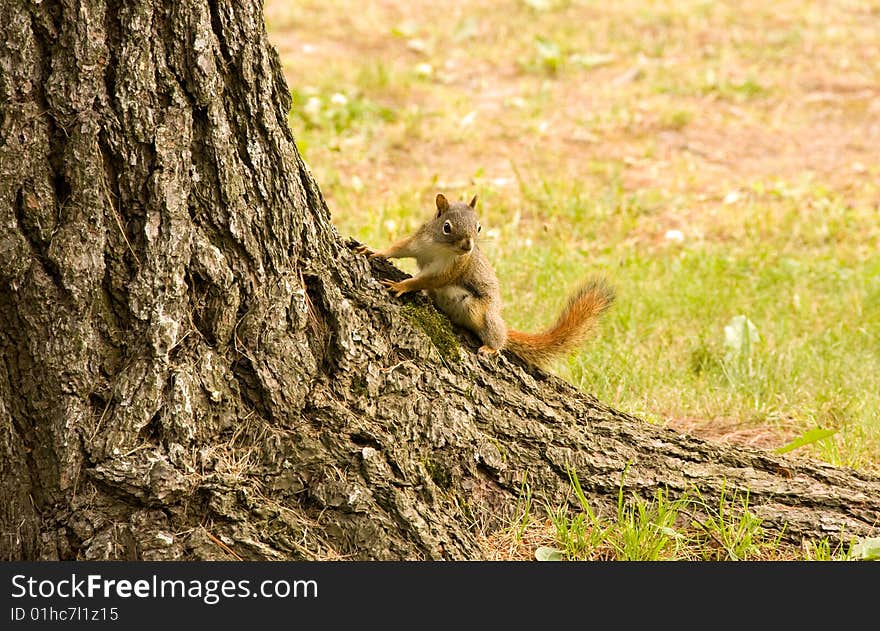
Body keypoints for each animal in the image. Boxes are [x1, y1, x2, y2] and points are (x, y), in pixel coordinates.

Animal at [354, 195, 616, 368]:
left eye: (478, 227)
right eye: (447, 227)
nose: (468, 246)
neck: (440, 248)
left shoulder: (453, 268)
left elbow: (429, 279)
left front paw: (401, 286)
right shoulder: (418, 242)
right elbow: (399, 248)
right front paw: (374, 251)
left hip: (485, 313)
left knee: (497, 335)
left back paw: (491, 347)